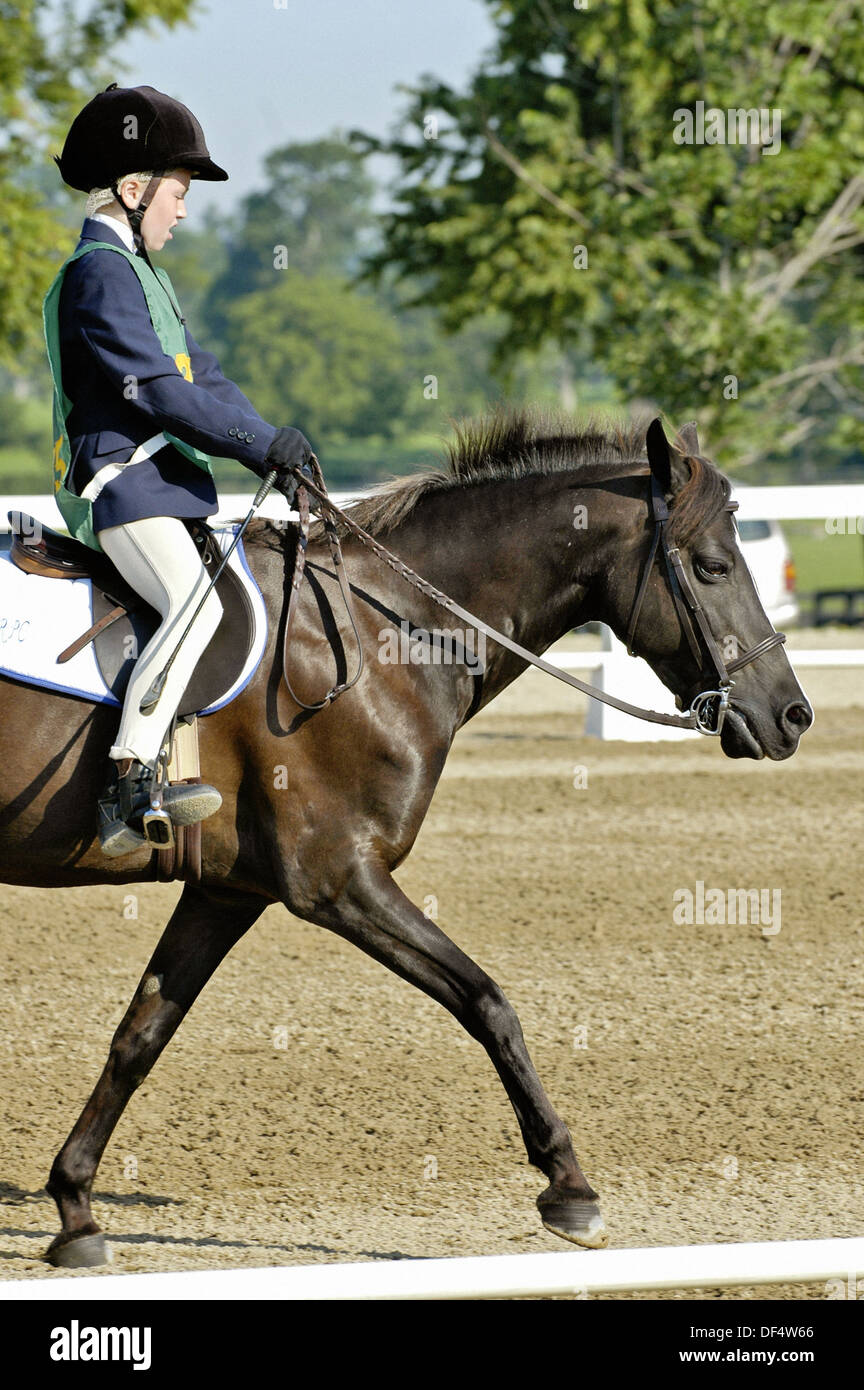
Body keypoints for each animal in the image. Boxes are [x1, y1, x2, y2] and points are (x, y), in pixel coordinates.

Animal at [0, 411, 813, 1268]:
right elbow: (487, 1002)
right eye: (715, 567)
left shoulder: (227, 892)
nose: (792, 715)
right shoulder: (339, 880)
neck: (383, 630)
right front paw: (570, 1188)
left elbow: (141, 1036)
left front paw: (75, 1208)